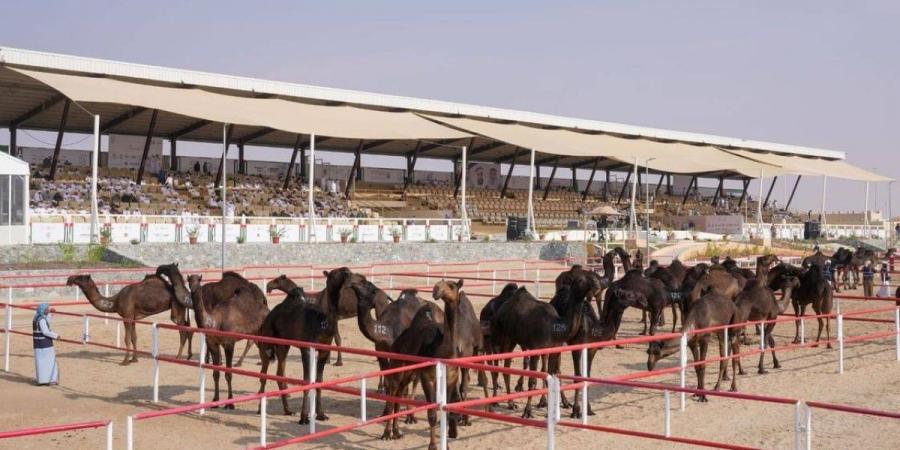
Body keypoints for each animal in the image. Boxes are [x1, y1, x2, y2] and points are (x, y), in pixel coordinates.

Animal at [190, 274, 270, 408]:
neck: (214, 322)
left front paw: (230, 403)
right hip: (256, 335)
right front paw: (215, 401)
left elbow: (228, 374)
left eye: (198, 281)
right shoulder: (212, 344)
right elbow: (216, 374)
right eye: (189, 280)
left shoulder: (229, 344)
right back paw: (260, 392)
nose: (193, 288)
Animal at [378, 280, 468, 448]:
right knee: (393, 391)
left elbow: (445, 411)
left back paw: (397, 432)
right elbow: (432, 413)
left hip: (410, 371)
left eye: (452, 286)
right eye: (440, 284)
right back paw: (386, 434)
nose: (436, 289)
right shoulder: (427, 376)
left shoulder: (451, 377)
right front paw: (432, 446)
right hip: (398, 363)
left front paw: (447, 445)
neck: (443, 350)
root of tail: (398, 340)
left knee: (400, 391)